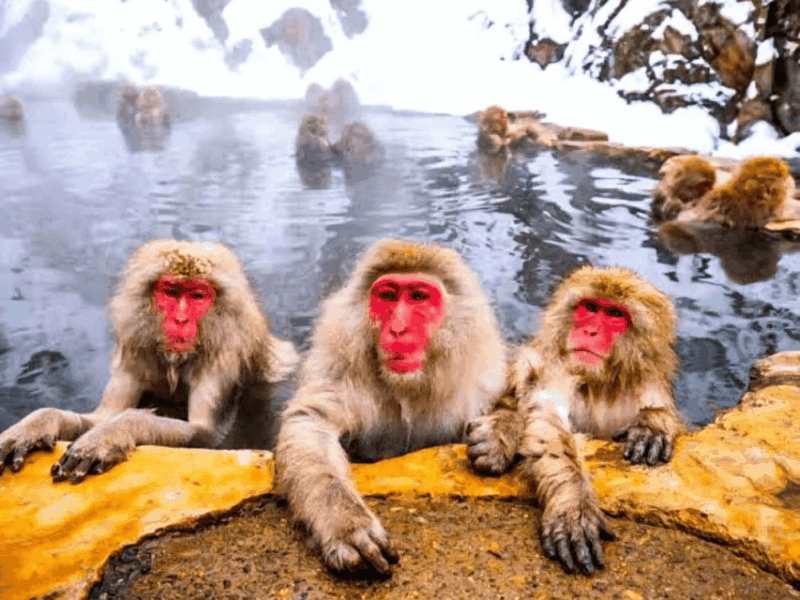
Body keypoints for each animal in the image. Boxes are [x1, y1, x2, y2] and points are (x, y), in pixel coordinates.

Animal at [0, 240, 299, 483]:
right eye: (171, 292)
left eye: (197, 296)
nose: (180, 320)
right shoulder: (137, 352)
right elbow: (100, 417)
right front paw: (35, 425)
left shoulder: (224, 356)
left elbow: (208, 435)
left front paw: (111, 434)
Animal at [275, 238, 508, 576]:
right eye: (387, 296)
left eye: (419, 297)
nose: (397, 329)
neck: (407, 387)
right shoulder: (342, 372)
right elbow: (311, 422)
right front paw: (345, 523)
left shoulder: (482, 383)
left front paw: (501, 435)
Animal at [467, 265, 683, 575]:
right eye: (590, 308)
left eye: (615, 315)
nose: (590, 331)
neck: (599, 385)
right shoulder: (555, 369)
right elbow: (548, 421)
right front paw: (574, 504)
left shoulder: (647, 383)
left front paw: (652, 425)